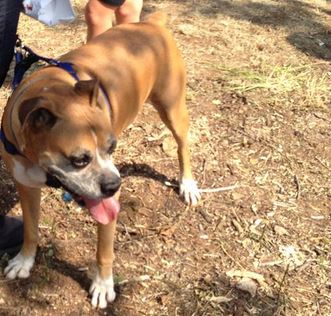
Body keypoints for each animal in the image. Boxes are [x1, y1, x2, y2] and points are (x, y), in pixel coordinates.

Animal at [1, 13, 201, 308]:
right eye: (79, 159)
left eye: (112, 147)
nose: (114, 185)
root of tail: (151, 23)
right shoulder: (26, 186)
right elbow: (30, 229)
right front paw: (25, 261)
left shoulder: (109, 204)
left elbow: (104, 250)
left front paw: (103, 285)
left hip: (172, 107)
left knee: (183, 145)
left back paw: (187, 184)